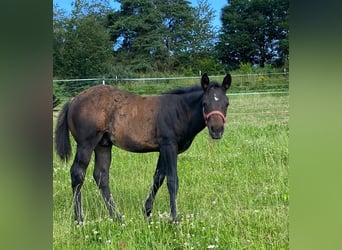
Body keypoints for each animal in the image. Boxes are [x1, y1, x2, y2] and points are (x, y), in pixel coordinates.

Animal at [54, 73, 232, 223]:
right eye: (205, 103)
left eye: (227, 103)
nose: (216, 130)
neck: (180, 110)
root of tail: (73, 100)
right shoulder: (169, 146)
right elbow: (172, 180)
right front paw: (174, 218)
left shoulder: (163, 149)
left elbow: (158, 178)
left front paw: (147, 212)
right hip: (86, 144)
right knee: (77, 173)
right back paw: (79, 218)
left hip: (103, 145)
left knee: (101, 176)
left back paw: (117, 217)